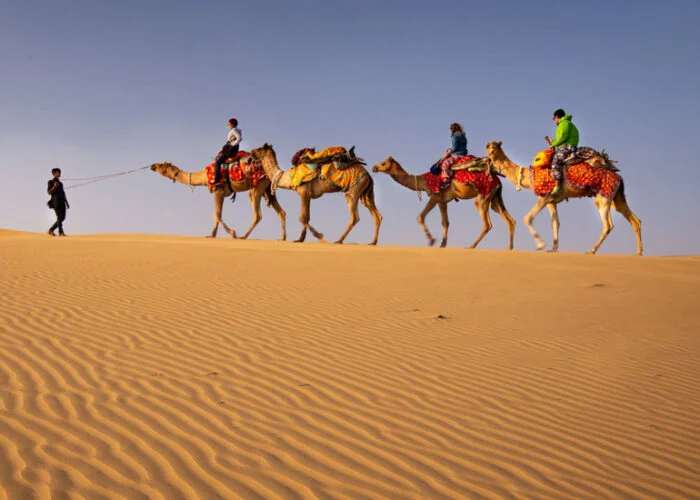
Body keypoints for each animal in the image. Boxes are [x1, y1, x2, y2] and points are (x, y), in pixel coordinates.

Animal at [150, 162, 288, 240]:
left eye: (161, 165)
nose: (152, 166)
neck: (204, 176)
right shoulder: (220, 193)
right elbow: (217, 214)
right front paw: (211, 235)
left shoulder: (218, 190)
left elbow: (216, 214)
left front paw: (232, 233)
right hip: (267, 188)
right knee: (281, 212)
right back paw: (282, 238)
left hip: (258, 186)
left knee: (257, 214)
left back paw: (243, 236)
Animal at [250, 143, 382, 244]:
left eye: (259, 149)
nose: (251, 152)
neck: (288, 177)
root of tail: (369, 175)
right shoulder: (308, 195)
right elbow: (307, 217)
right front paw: (300, 239)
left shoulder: (303, 192)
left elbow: (302, 218)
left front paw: (320, 236)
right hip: (366, 193)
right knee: (377, 216)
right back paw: (372, 242)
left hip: (354, 190)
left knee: (355, 216)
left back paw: (339, 240)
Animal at [372, 157, 516, 249]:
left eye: (383, 163)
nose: (374, 167)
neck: (423, 181)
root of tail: (498, 180)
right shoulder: (443, 201)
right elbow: (445, 222)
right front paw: (442, 245)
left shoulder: (435, 196)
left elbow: (420, 217)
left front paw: (431, 240)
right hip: (495, 198)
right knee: (510, 220)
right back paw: (509, 248)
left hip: (482, 197)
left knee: (487, 224)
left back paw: (471, 246)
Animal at [484, 143, 644, 256]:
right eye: (488, 147)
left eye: (494, 148)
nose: (488, 157)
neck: (528, 177)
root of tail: (619, 177)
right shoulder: (552, 202)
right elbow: (556, 223)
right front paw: (553, 249)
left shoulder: (545, 196)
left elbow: (527, 218)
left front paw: (541, 245)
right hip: (616, 196)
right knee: (634, 220)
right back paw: (638, 252)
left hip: (603, 197)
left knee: (608, 225)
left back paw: (591, 250)